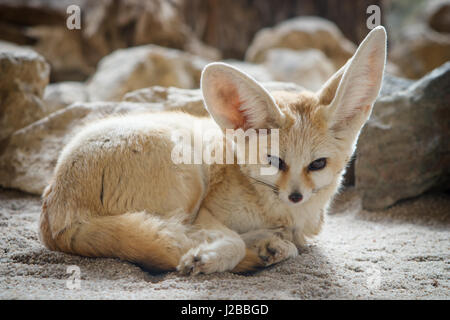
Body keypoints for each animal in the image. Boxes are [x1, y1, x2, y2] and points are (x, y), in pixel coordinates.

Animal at [39, 26, 386, 274]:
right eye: (274, 161)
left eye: (317, 164)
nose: (296, 196)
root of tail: (55, 219)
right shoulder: (205, 212)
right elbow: (230, 239)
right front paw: (211, 257)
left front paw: (268, 246)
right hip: (188, 177)